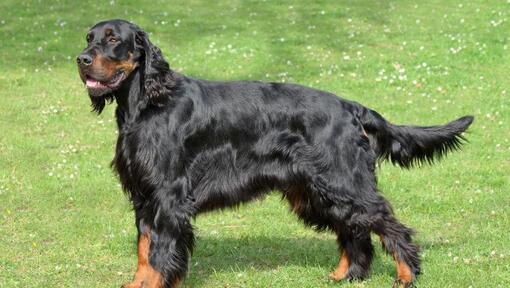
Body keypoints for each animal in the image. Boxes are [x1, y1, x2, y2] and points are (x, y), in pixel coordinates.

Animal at [76, 19, 474, 286]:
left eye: (113, 40)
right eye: (89, 38)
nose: (81, 59)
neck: (146, 104)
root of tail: (352, 107)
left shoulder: (168, 196)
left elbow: (159, 252)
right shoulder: (144, 195)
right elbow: (144, 249)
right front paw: (137, 283)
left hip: (342, 182)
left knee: (387, 224)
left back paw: (407, 275)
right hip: (318, 190)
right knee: (354, 231)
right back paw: (345, 275)